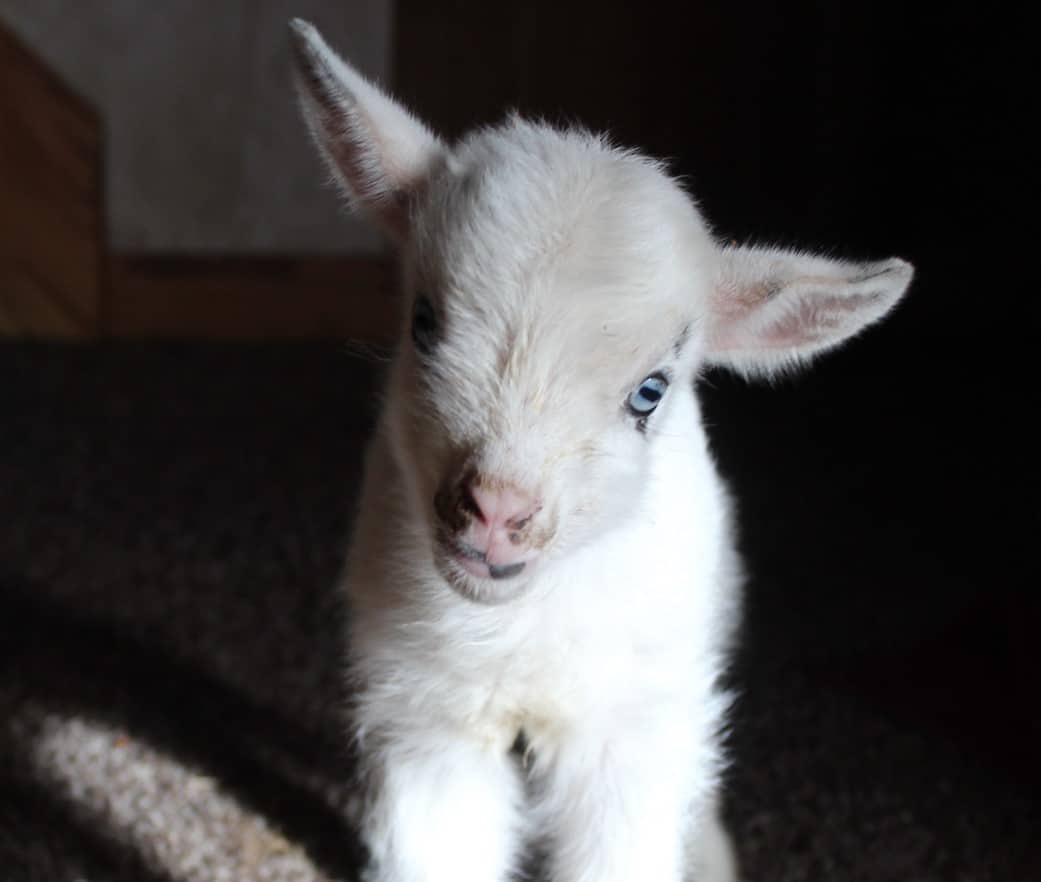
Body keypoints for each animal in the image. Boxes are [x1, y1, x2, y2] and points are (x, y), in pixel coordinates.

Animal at [287, 20, 911, 882]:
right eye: (423, 325)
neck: (520, 625)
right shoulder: (424, 713)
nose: (494, 512)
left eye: (649, 391)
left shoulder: (634, 729)